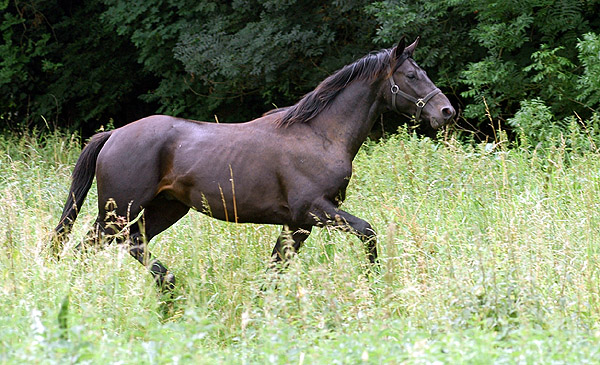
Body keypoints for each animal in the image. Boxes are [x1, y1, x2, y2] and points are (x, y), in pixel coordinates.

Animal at [52, 37, 454, 290]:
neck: (320, 135)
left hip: (163, 209)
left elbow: (276, 267)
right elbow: (368, 232)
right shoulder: (315, 210)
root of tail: (113, 134)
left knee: (118, 244)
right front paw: (374, 283)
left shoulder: (298, 224)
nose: (446, 111)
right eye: (411, 76)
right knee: (104, 245)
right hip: (120, 210)